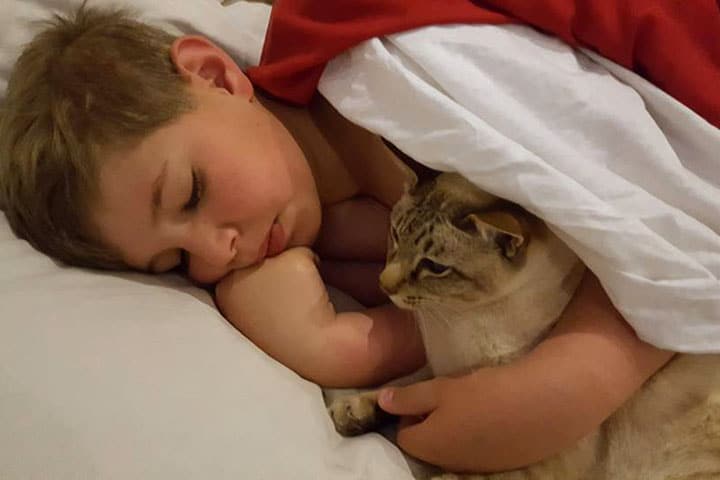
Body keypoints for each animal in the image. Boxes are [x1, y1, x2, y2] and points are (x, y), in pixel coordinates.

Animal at [328, 172, 720, 480]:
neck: (460, 322)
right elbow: (397, 388)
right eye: (395, 235)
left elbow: (460, 475)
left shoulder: (542, 460)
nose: (383, 284)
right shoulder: (444, 370)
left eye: (435, 267)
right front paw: (355, 410)